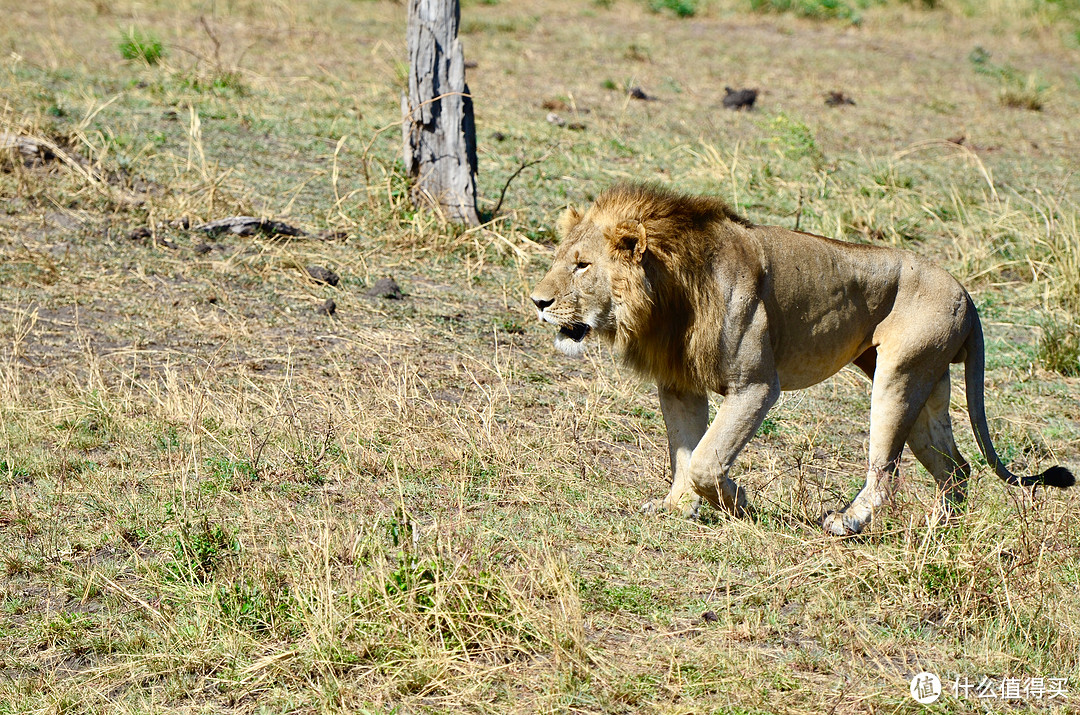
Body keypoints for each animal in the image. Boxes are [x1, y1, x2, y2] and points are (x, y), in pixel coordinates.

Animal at [529, 182, 1071, 535]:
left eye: (582, 266)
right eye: (559, 260)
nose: (537, 301)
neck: (667, 296)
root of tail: (966, 294)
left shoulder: (755, 386)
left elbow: (706, 457)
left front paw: (737, 501)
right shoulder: (680, 384)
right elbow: (684, 452)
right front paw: (676, 508)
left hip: (899, 376)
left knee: (885, 471)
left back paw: (847, 522)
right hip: (927, 386)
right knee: (957, 470)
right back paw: (939, 532)